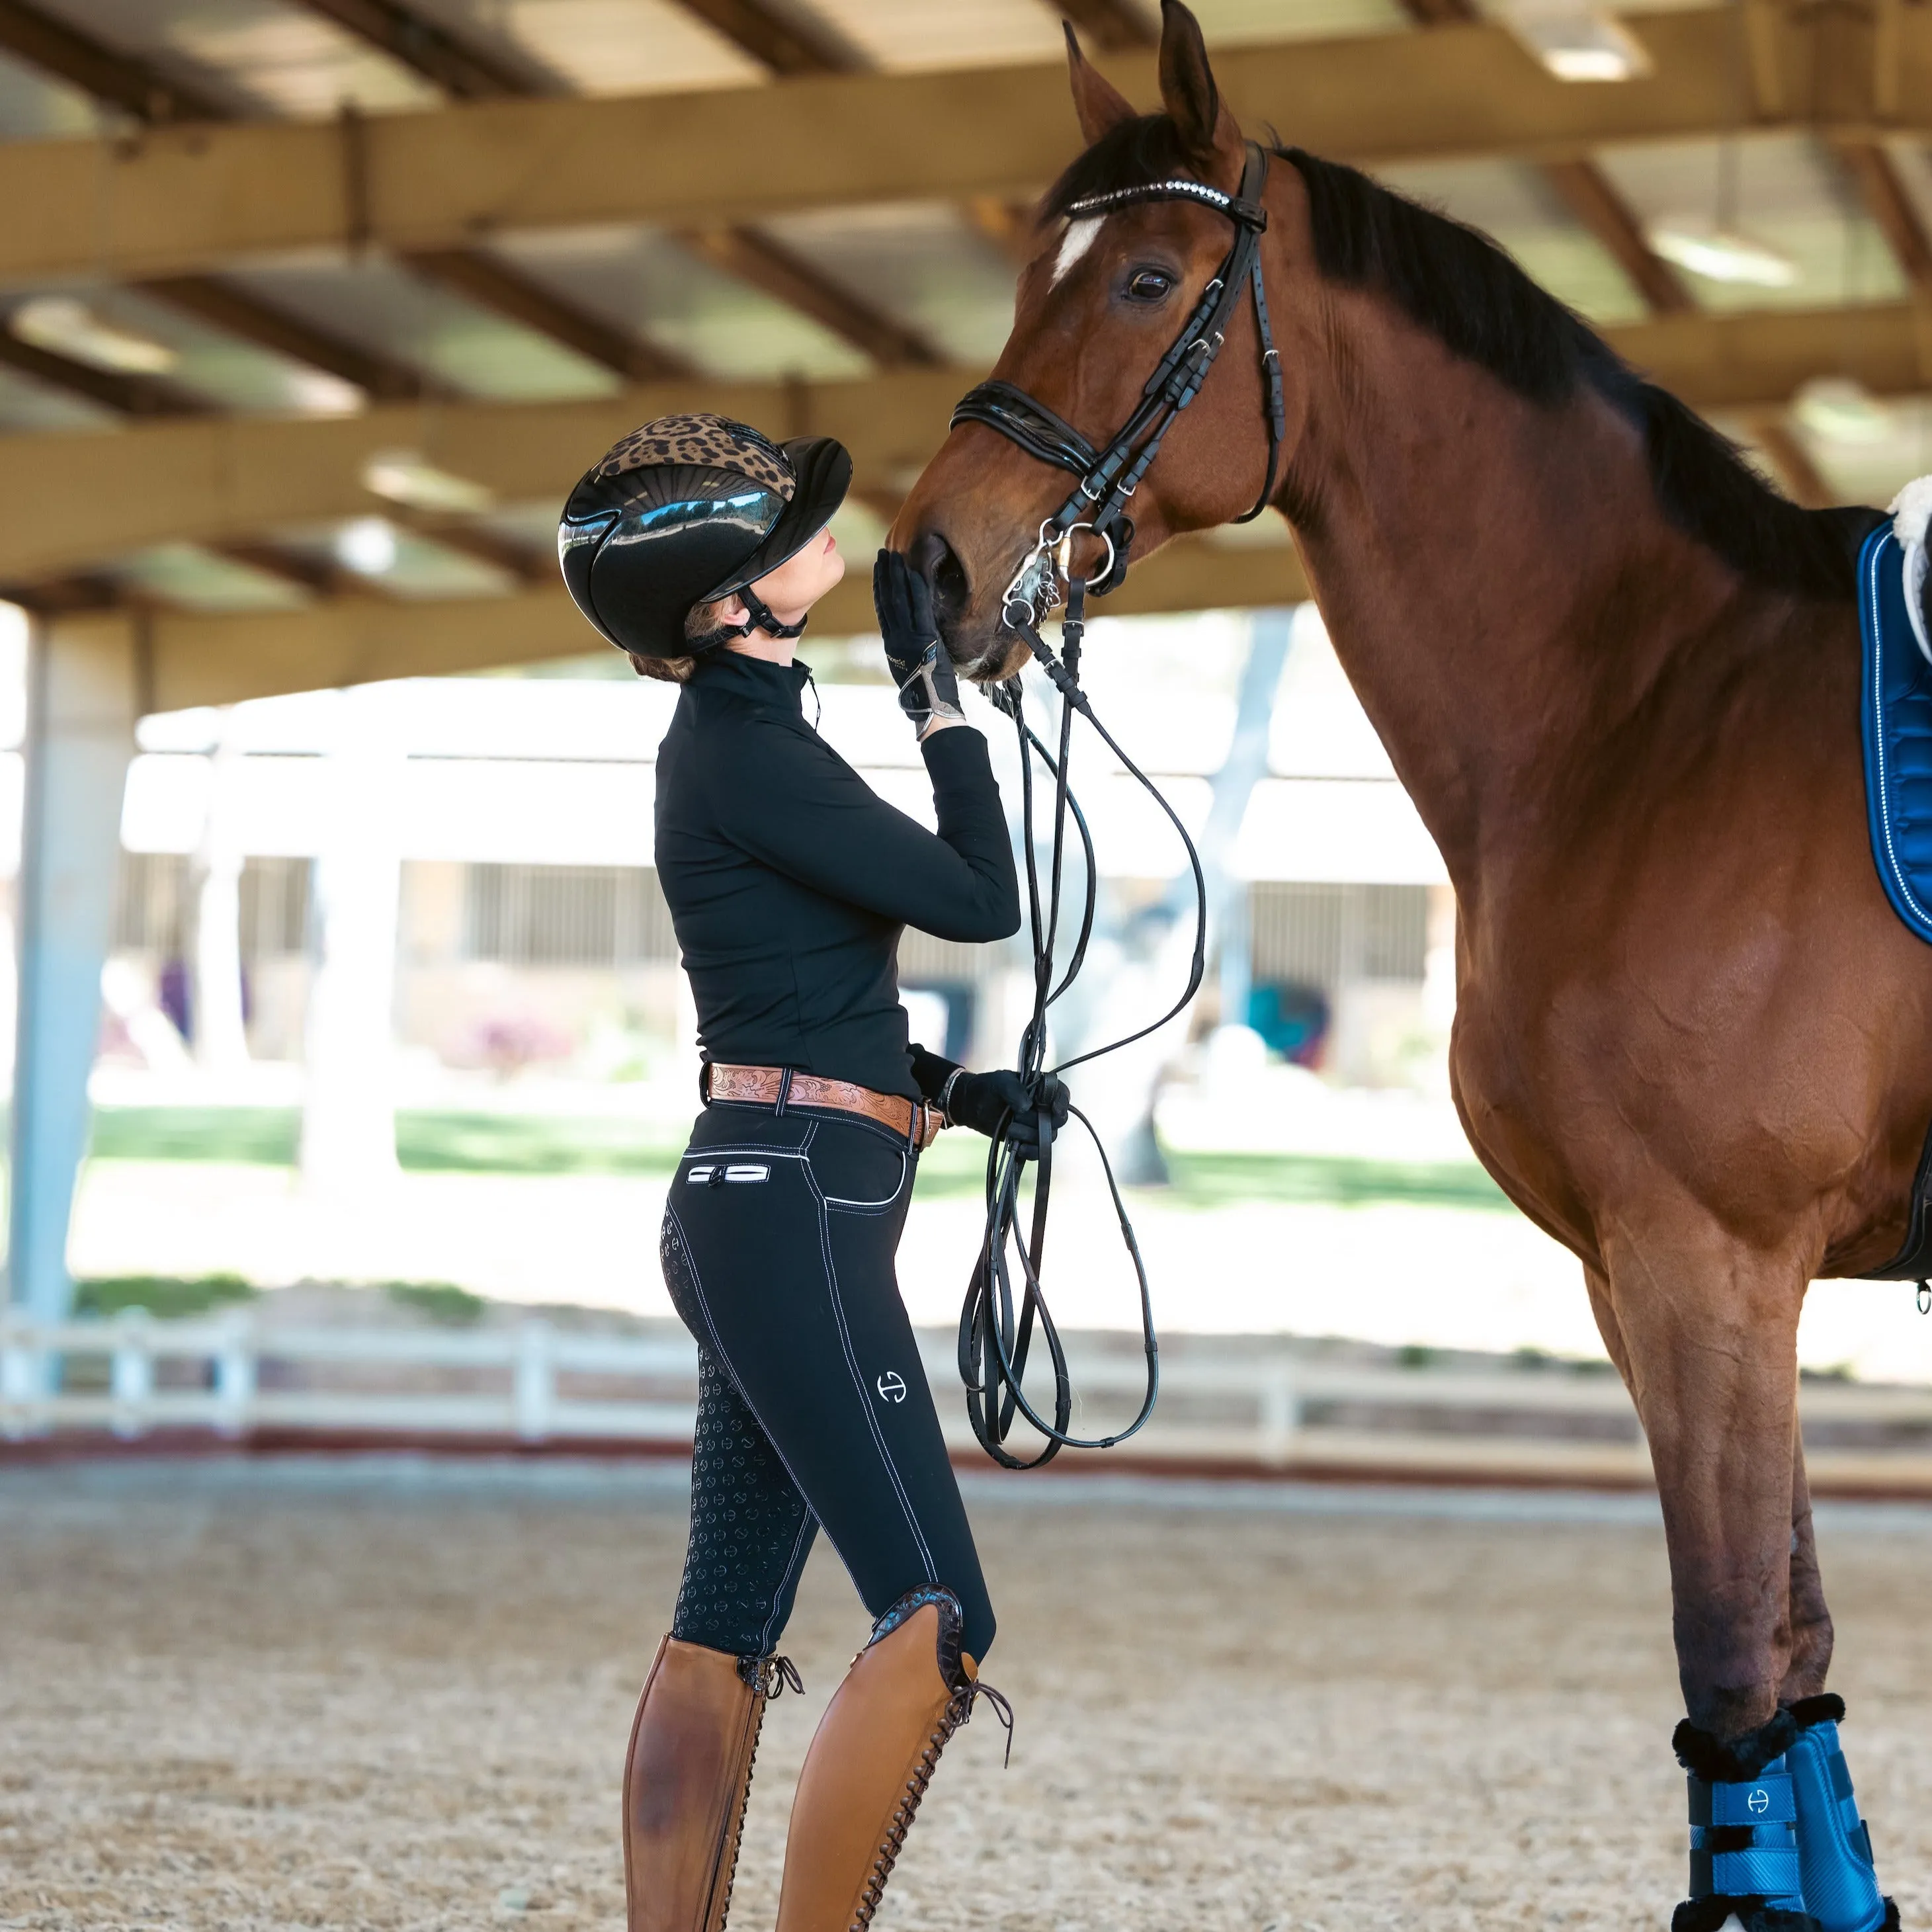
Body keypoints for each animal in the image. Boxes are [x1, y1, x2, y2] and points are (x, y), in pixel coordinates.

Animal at [896, 3, 1924, 1916]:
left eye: (1145, 277)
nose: (925, 570)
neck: (1655, 710)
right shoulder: (1653, 1277)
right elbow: (1800, 1652)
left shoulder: (1710, 1265)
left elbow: (1733, 1658)